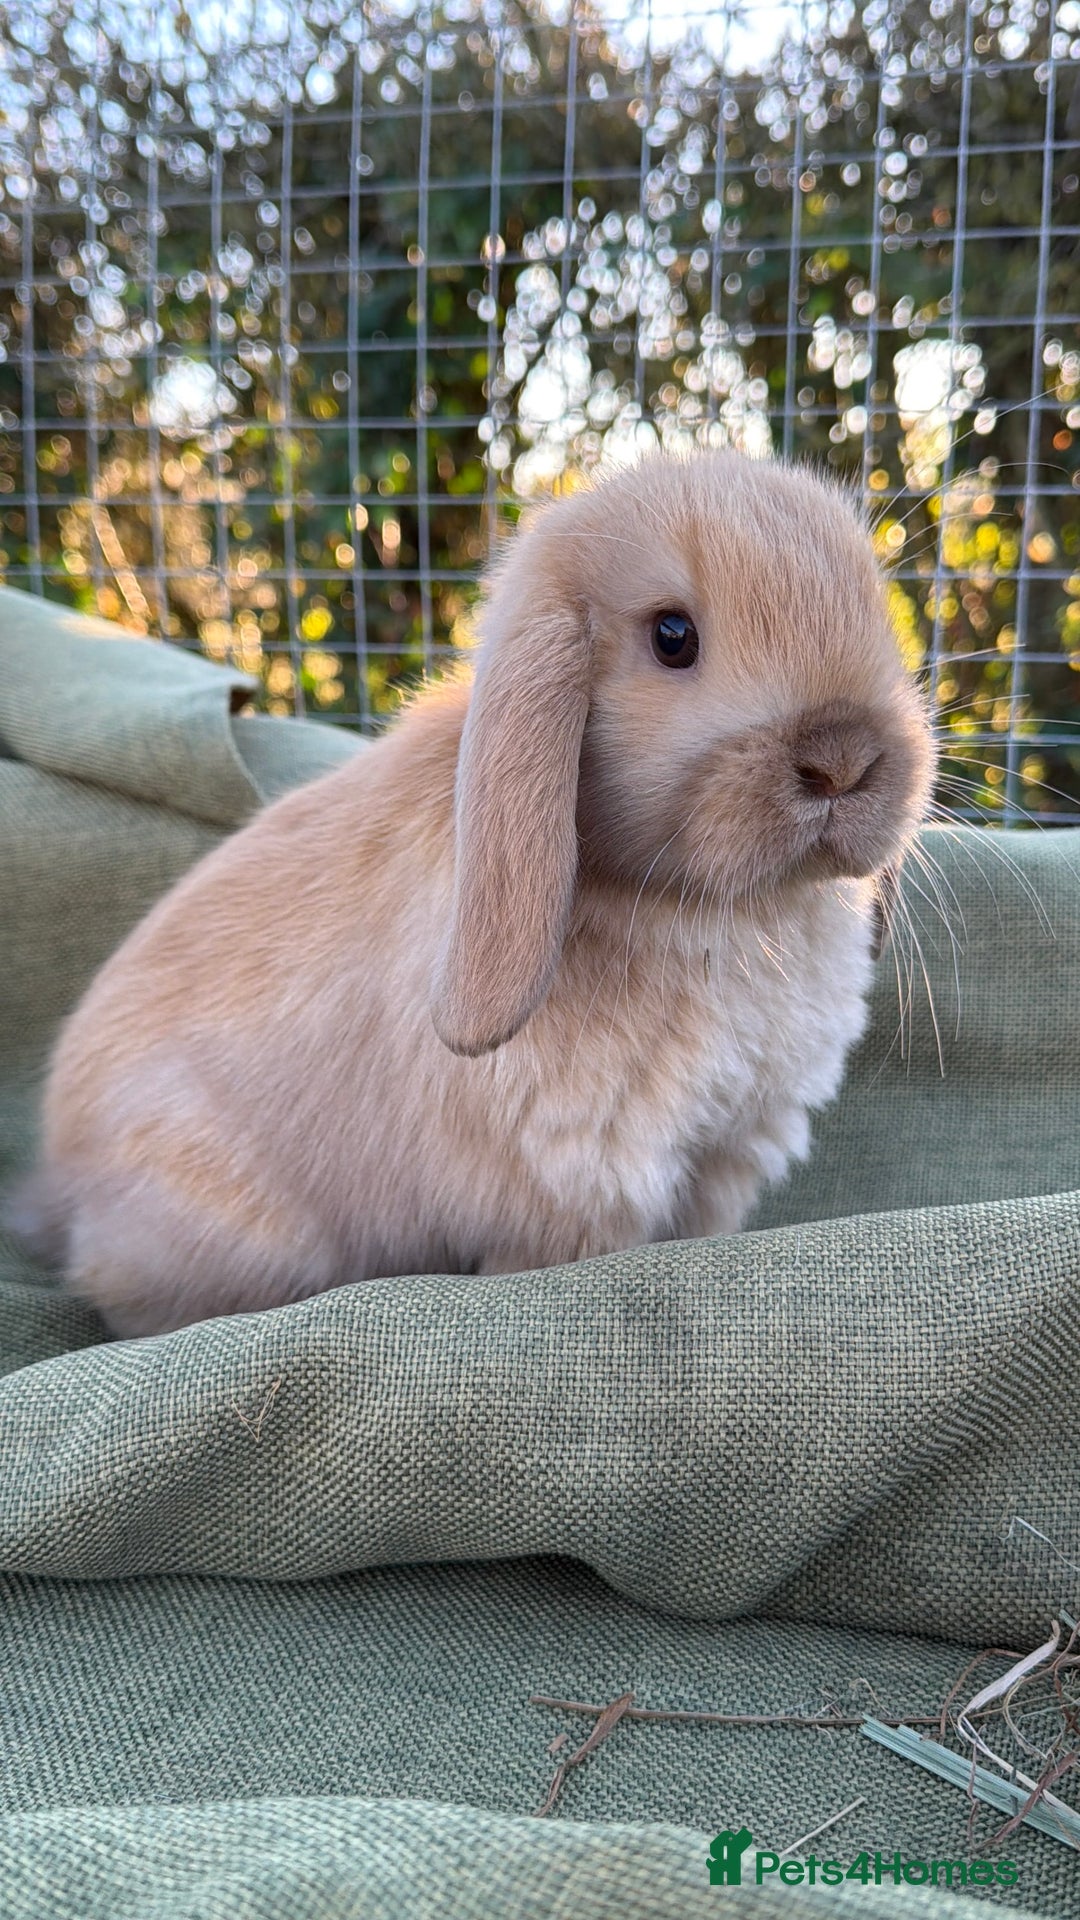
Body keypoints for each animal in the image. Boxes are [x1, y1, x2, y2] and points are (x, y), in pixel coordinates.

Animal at [17, 449, 934, 1337]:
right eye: (673, 637)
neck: (720, 908)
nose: (844, 758)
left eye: (874, 603)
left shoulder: (725, 1157)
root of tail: (59, 1185)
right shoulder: (589, 1184)